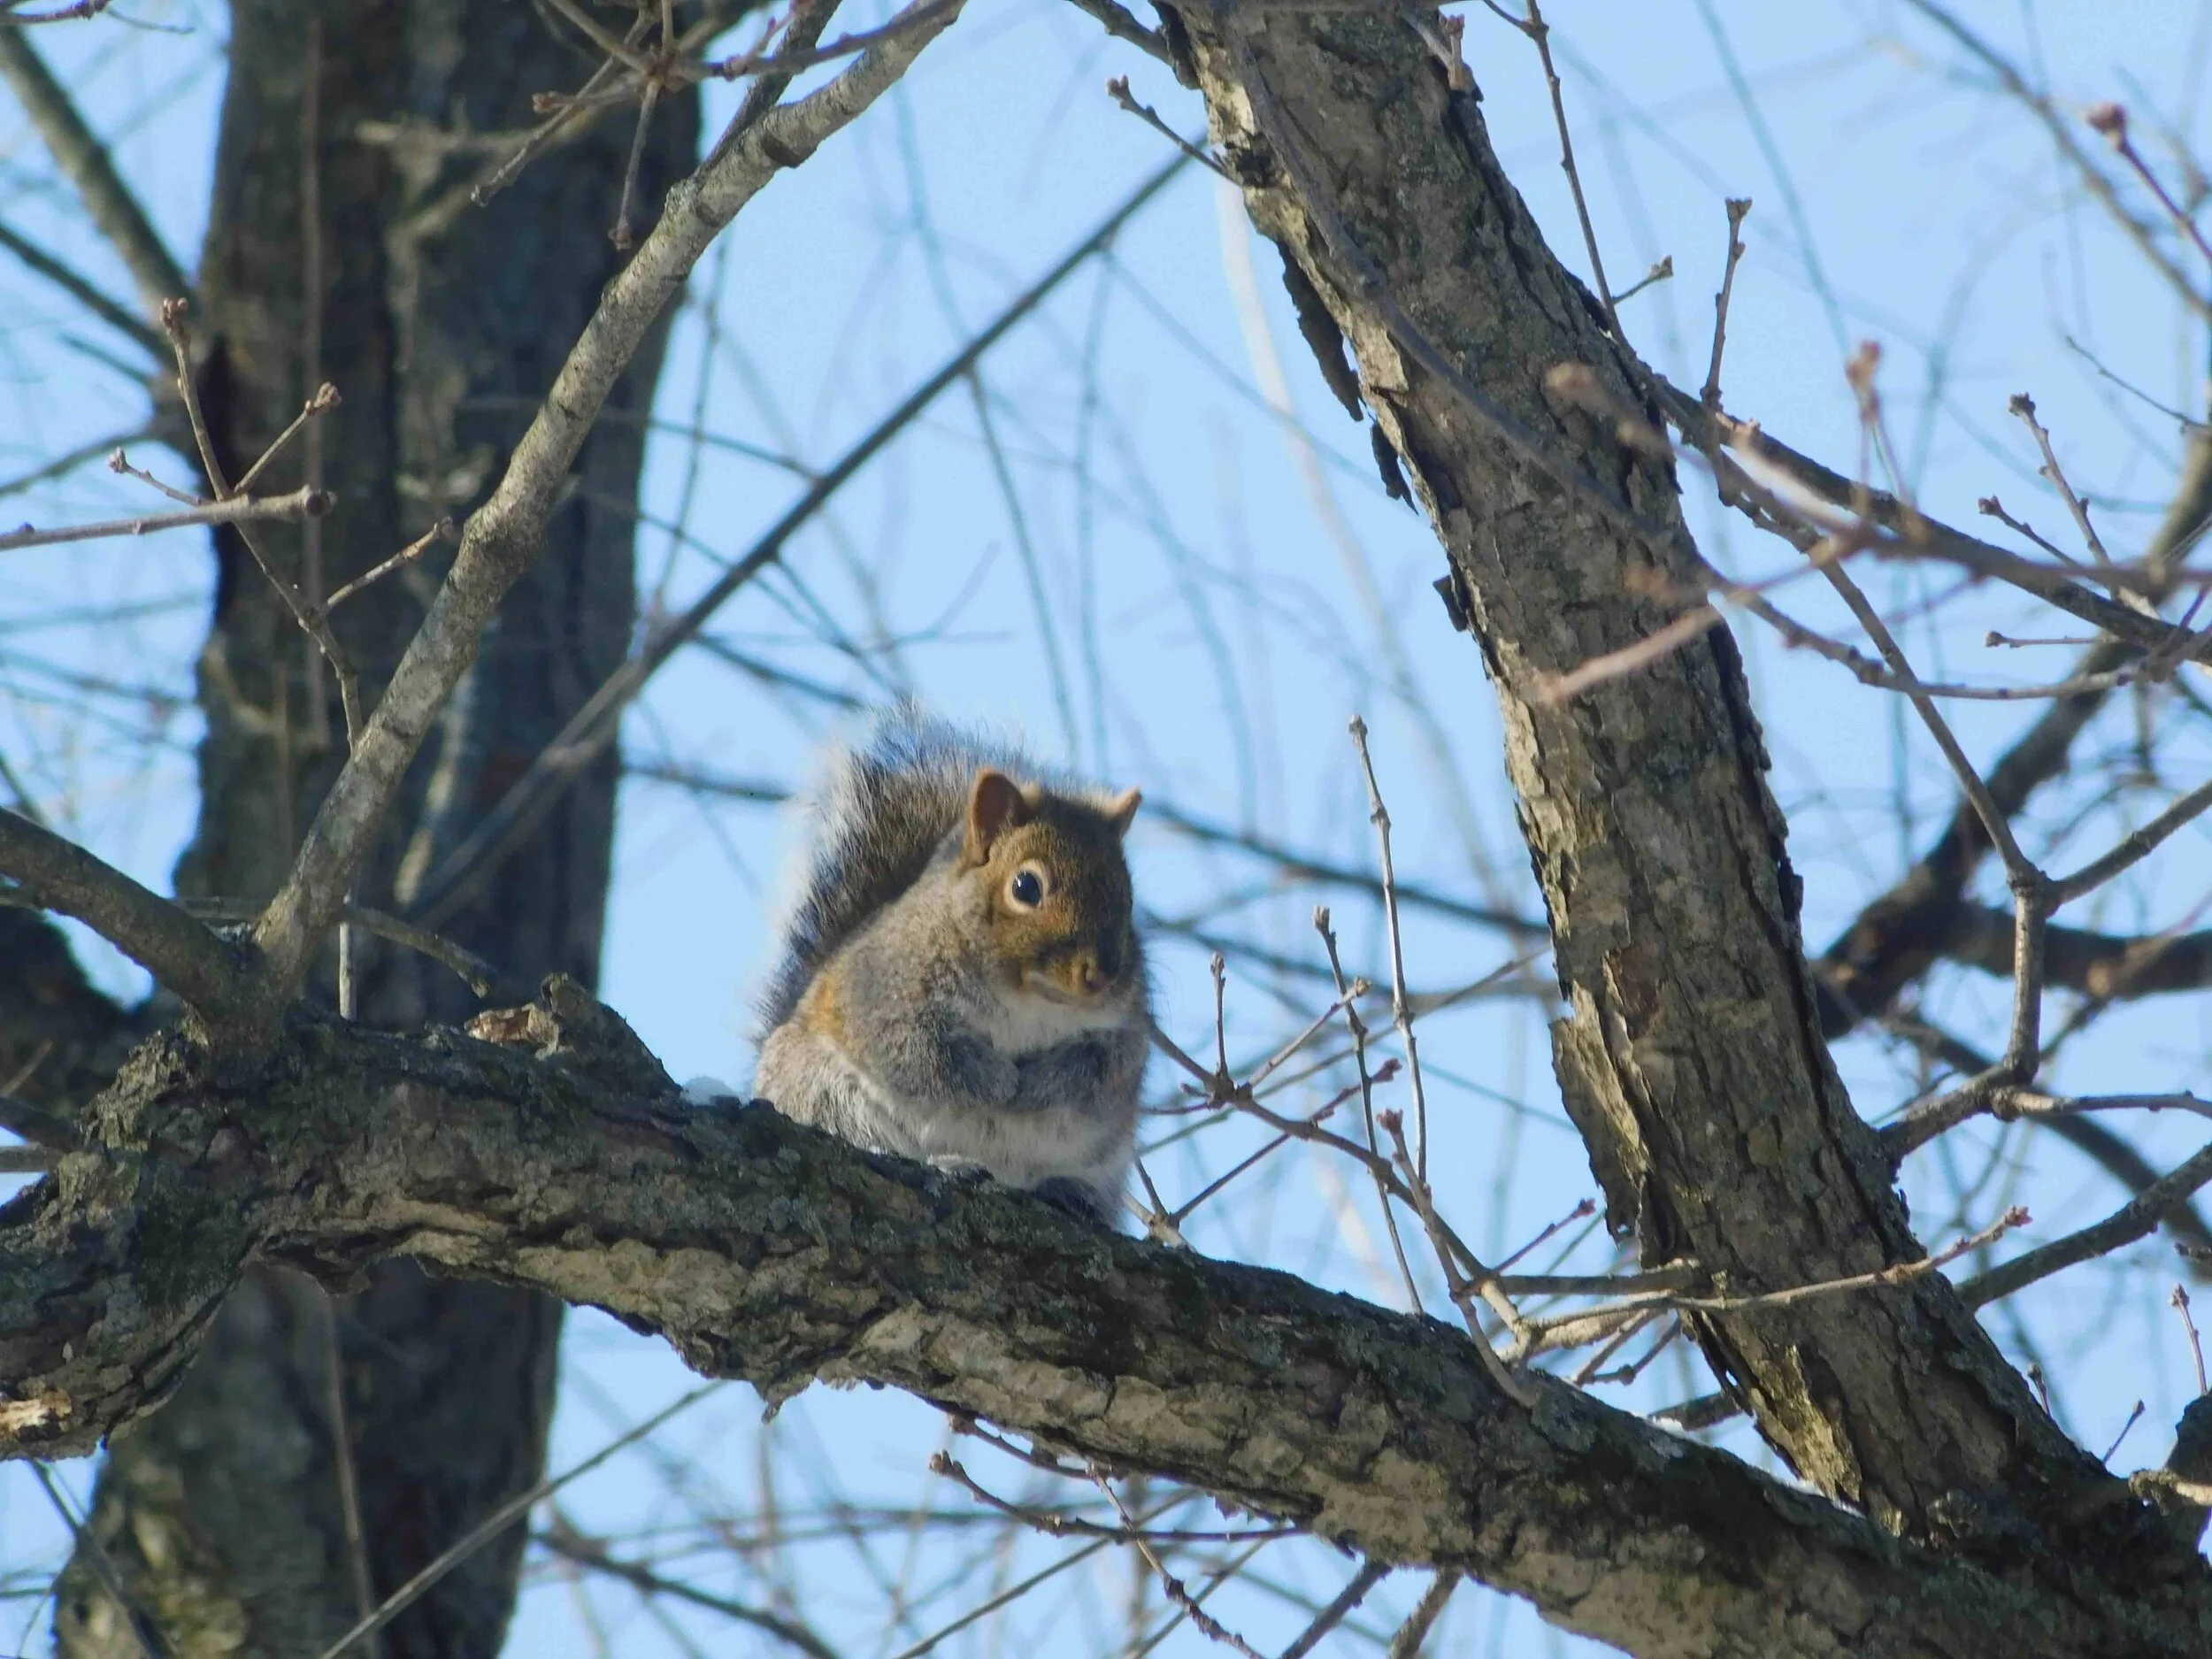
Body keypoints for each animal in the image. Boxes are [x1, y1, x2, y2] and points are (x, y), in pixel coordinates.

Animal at [751, 709, 1150, 1225]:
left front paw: (1038, 1084)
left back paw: (1069, 1192)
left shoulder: (1125, 1032)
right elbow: (925, 1055)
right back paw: (946, 1162)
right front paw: (999, 1081)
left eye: (1128, 898)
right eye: (1025, 886)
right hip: (817, 1087)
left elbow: (1099, 1075)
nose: (1098, 975)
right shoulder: (885, 995)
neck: (1028, 998)